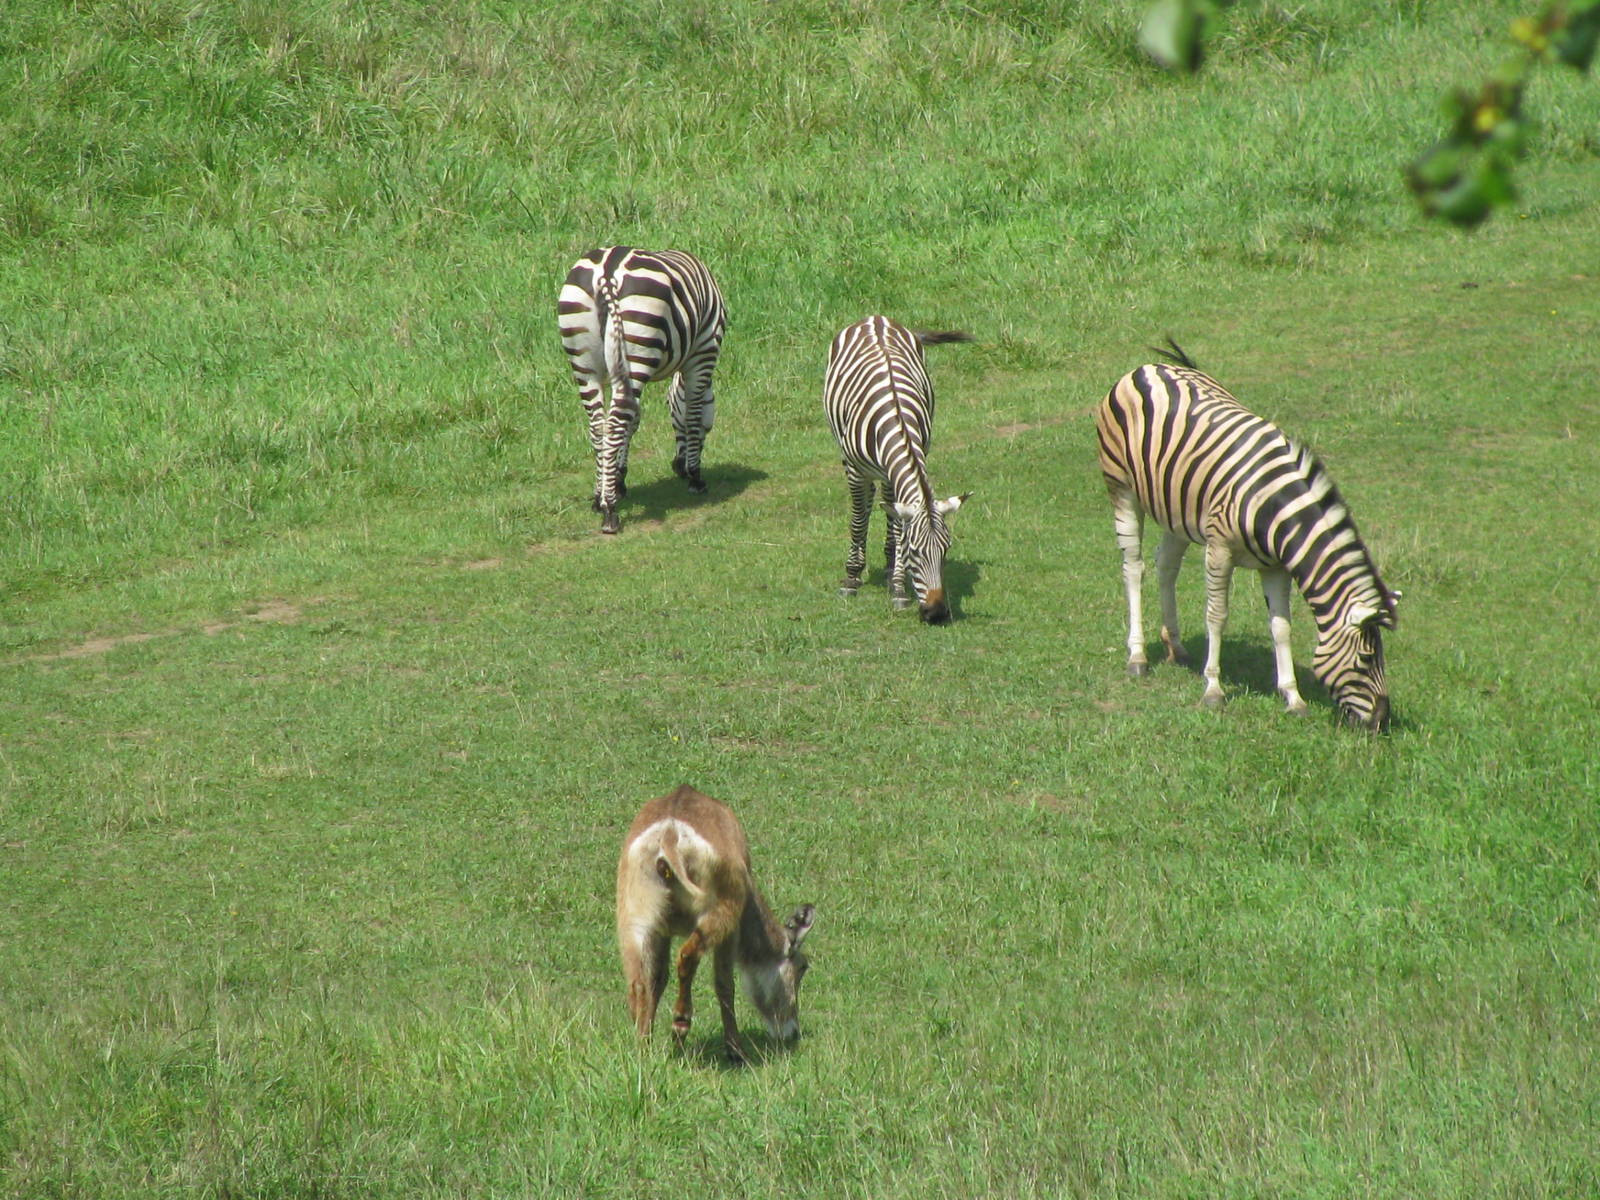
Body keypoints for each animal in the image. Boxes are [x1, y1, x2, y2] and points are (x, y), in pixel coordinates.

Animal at [557, 246, 727, 534]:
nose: (677, 467)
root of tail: (607, 272)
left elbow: (633, 421)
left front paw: (618, 478)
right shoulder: (703, 352)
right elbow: (692, 414)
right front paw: (695, 477)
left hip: (585, 362)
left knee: (599, 426)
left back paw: (599, 498)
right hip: (639, 344)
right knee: (614, 423)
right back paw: (610, 511)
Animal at [824, 316, 972, 625]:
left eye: (946, 550)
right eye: (916, 552)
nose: (936, 613)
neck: (898, 419)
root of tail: (875, 318)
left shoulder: (898, 474)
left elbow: (895, 526)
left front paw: (898, 586)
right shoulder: (855, 469)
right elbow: (858, 520)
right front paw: (851, 578)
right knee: (865, 505)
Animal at [1096, 342, 1399, 730]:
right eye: (1365, 659)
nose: (1380, 720)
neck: (1275, 508)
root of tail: (1150, 367)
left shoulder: (1276, 566)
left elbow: (1281, 627)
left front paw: (1293, 697)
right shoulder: (1219, 550)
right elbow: (1217, 616)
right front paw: (1213, 689)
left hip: (1175, 505)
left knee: (1165, 566)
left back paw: (1175, 645)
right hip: (1121, 489)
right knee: (1134, 568)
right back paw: (1137, 657)